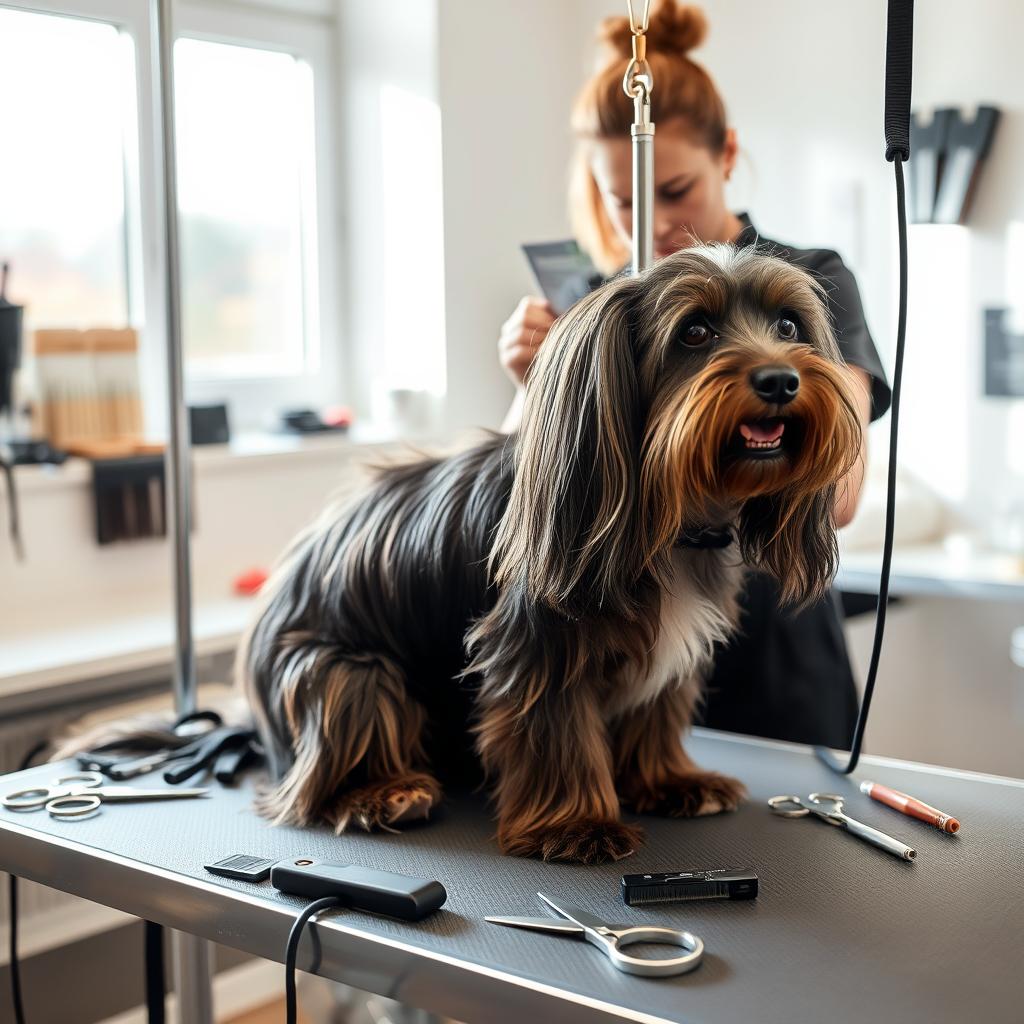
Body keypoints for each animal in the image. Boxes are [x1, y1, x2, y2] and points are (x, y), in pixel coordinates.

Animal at [241, 245, 864, 864]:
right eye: (694, 332)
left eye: (788, 325)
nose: (781, 380)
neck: (668, 512)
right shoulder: (541, 644)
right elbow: (556, 732)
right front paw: (576, 824)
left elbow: (656, 712)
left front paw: (669, 781)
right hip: (346, 670)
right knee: (327, 760)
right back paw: (383, 792)